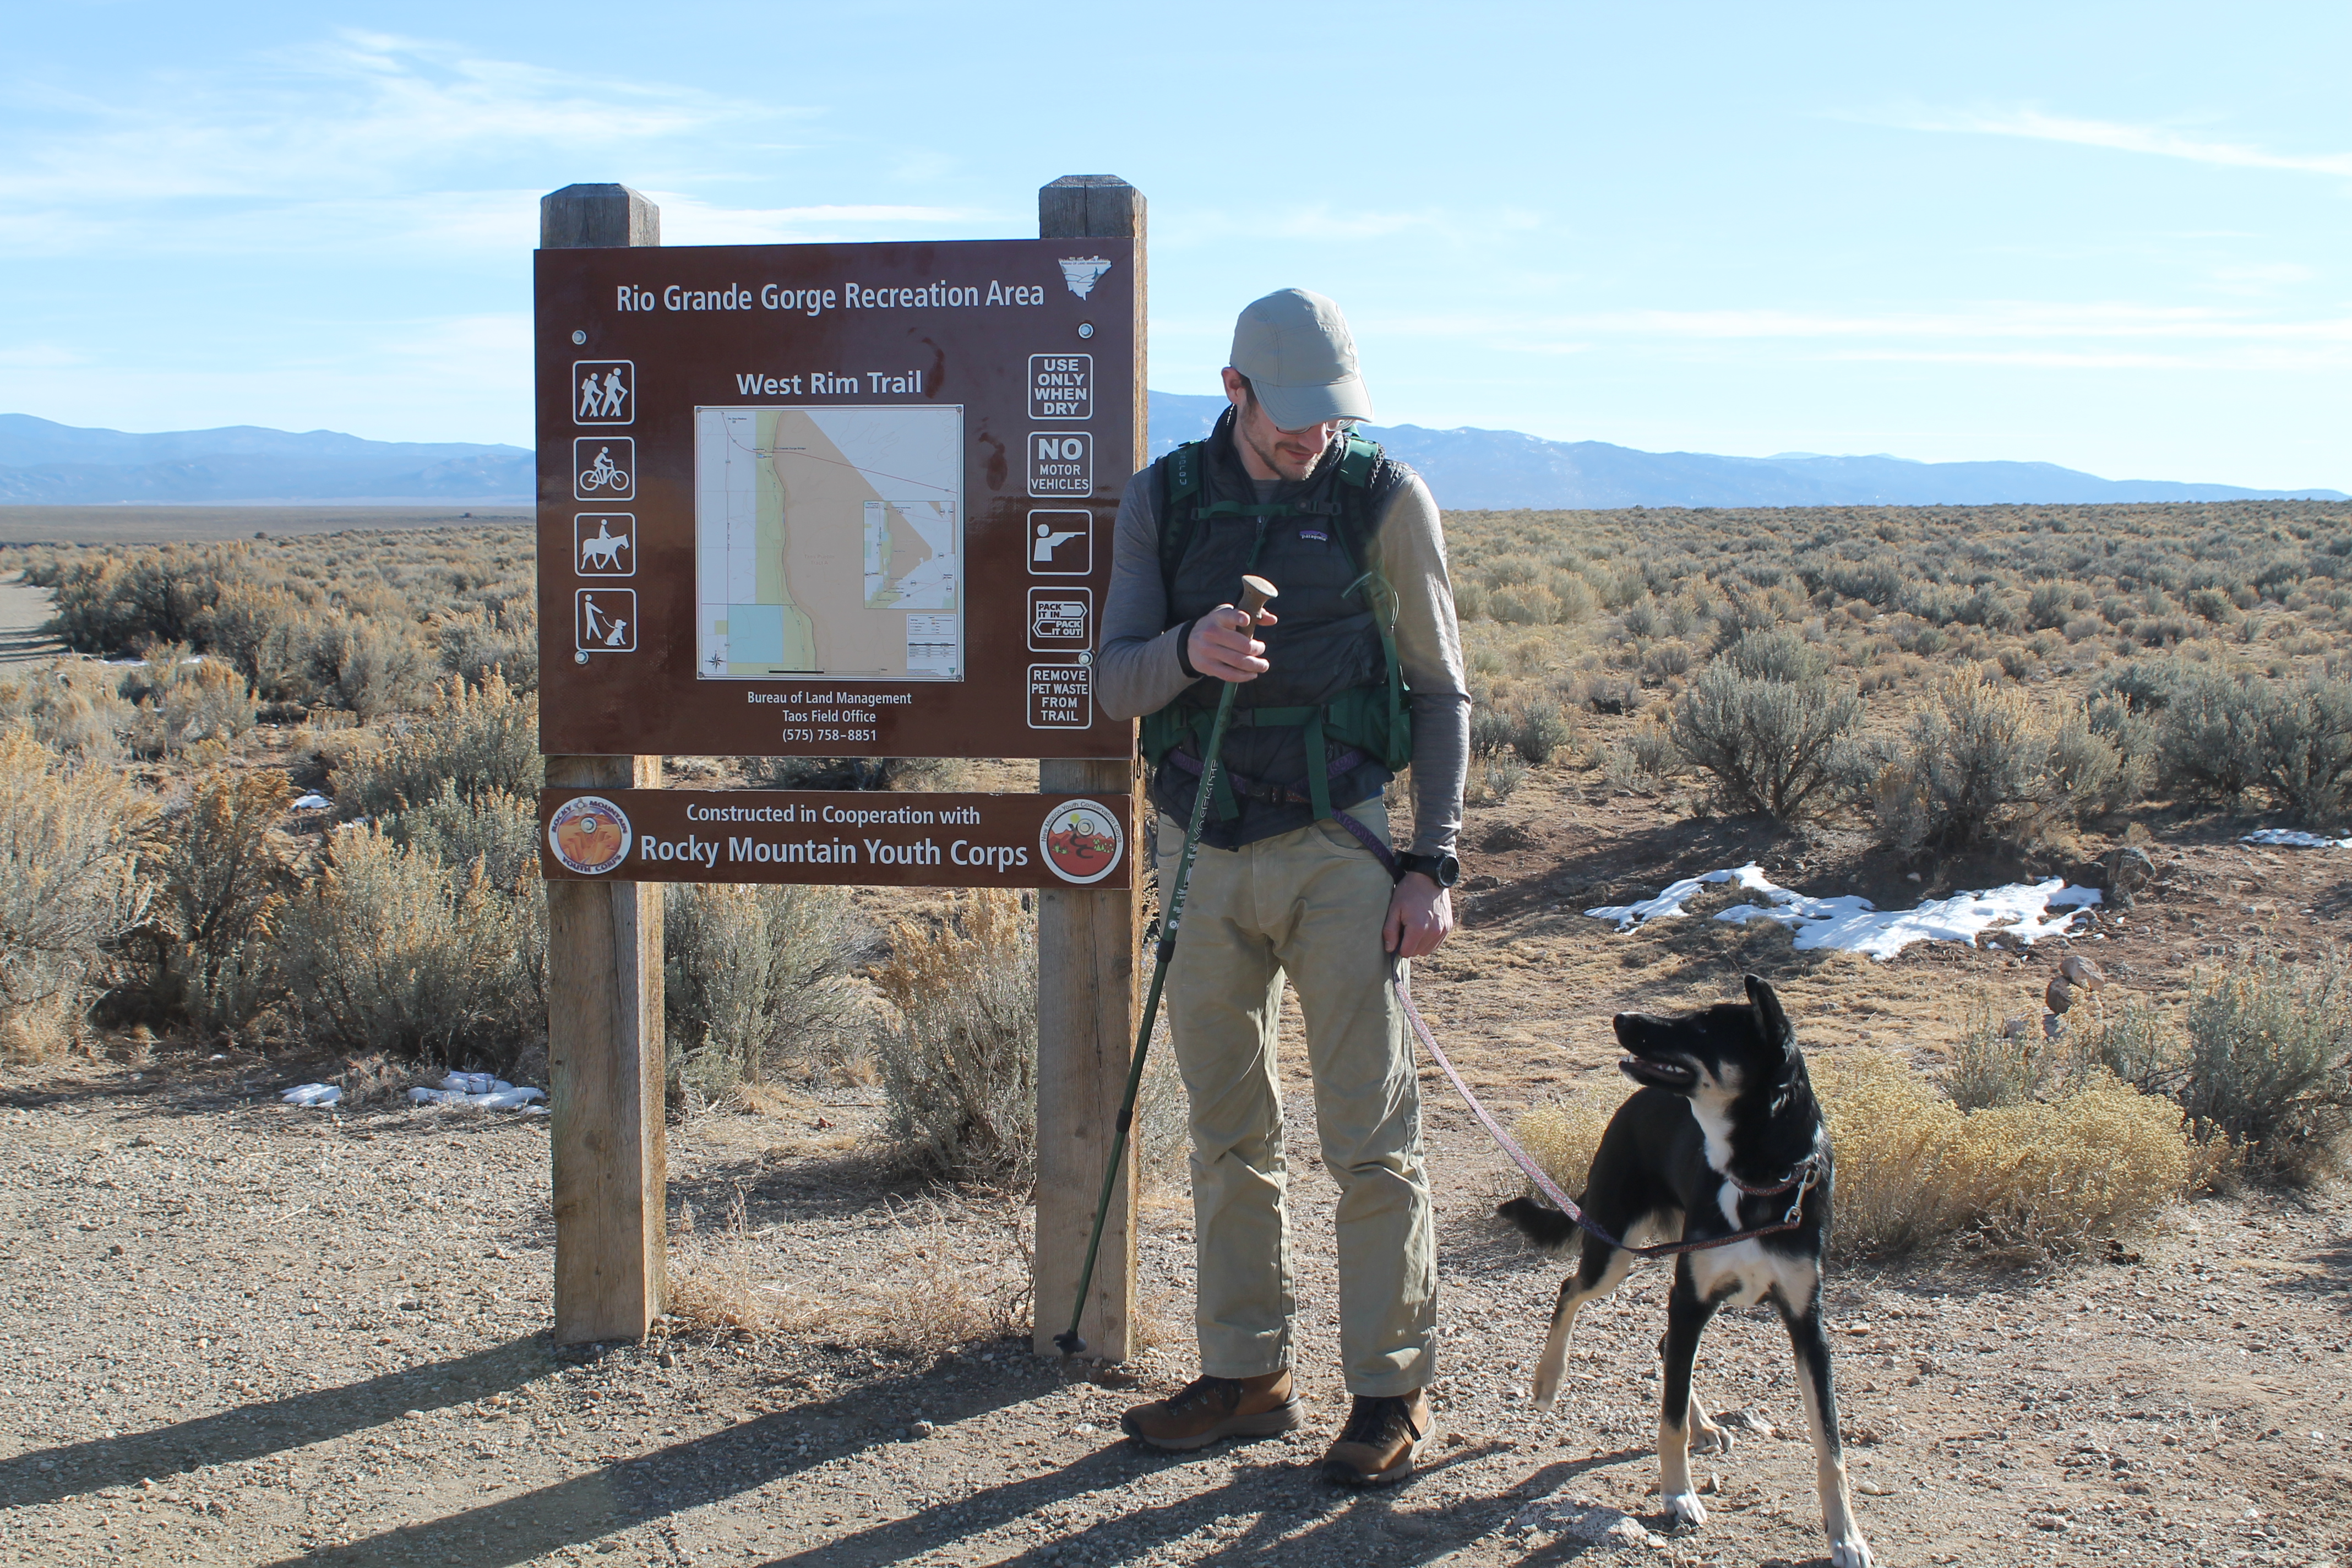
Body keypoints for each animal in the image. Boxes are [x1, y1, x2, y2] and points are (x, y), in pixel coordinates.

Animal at [1505, 973, 1872, 1561]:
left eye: (1700, 1028)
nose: (1621, 1018)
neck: (1757, 1181)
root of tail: (1632, 1104)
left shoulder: (1807, 1325)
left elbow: (1830, 1446)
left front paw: (1847, 1536)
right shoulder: (1691, 1298)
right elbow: (1669, 1419)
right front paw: (1678, 1496)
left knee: (1664, 1345)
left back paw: (1704, 1425)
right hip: (1617, 1253)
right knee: (1570, 1290)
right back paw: (1548, 1380)